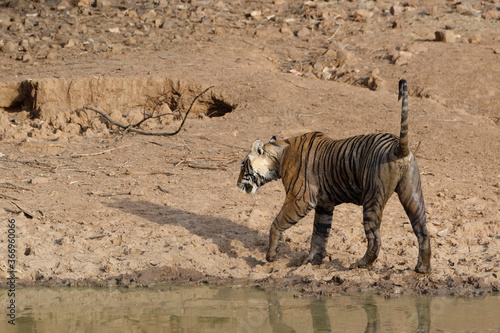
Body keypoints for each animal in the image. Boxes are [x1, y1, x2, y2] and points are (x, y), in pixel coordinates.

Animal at [237, 78, 430, 272]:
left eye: (242, 165)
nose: (237, 184)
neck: (279, 155)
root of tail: (398, 146)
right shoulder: (324, 204)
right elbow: (318, 235)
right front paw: (312, 261)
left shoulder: (300, 200)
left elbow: (276, 224)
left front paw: (271, 256)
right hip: (412, 194)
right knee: (423, 231)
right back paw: (423, 268)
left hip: (372, 198)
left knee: (375, 239)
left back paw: (360, 264)